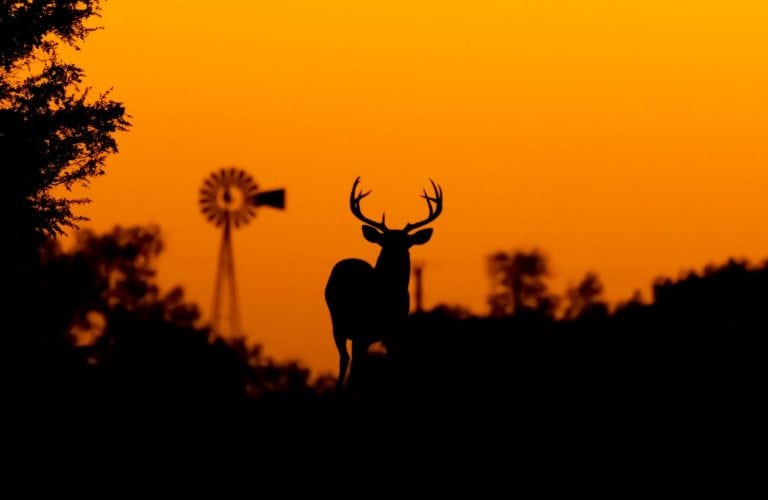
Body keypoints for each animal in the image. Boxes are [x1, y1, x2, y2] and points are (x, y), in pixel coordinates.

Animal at [325, 177, 443, 391]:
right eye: (385, 242)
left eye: (406, 243)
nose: (395, 255)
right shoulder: (361, 331)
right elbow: (357, 367)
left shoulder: (394, 332)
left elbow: (392, 365)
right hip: (338, 325)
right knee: (345, 360)